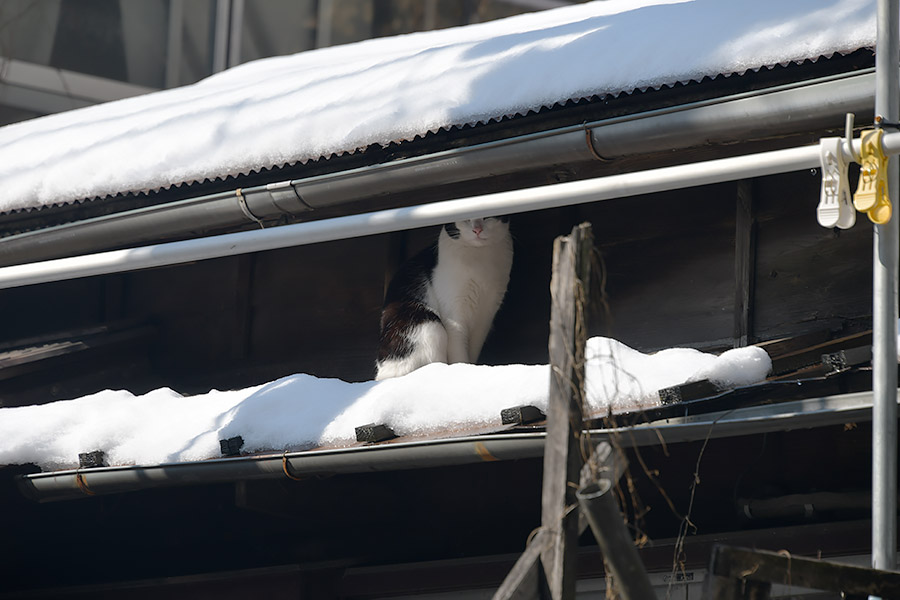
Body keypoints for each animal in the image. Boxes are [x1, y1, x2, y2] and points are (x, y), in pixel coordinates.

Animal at [374, 217, 512, 380]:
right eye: (465, 218)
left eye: (486, 217)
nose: (477, 229)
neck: (480, 258)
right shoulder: (454, 316)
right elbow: (459, 352)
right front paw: (462, 369)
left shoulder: (486, 316)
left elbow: (474, 349)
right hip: (428, 323)